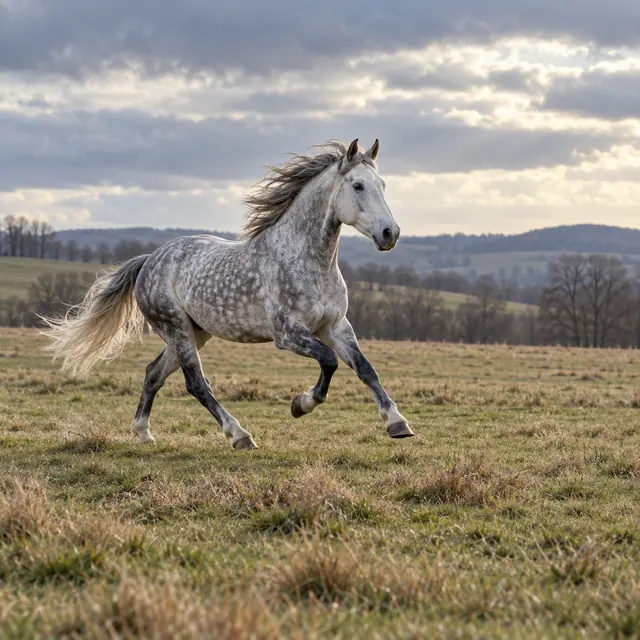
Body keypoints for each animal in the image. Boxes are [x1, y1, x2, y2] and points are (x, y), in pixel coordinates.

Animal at [41, 138, 414, 450]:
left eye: (383, 185)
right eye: (358, 185)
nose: (390, 233)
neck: (308, 260)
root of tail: (150, 260)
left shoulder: (336, 326)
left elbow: (365, 368)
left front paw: (397, 423)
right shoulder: (288, 334)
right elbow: (329, 361)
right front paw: (300, 405)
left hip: (194, 333)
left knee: (153, 373)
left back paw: (143, 433)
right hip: (177, 330)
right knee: (196, 383)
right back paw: (240, 435)